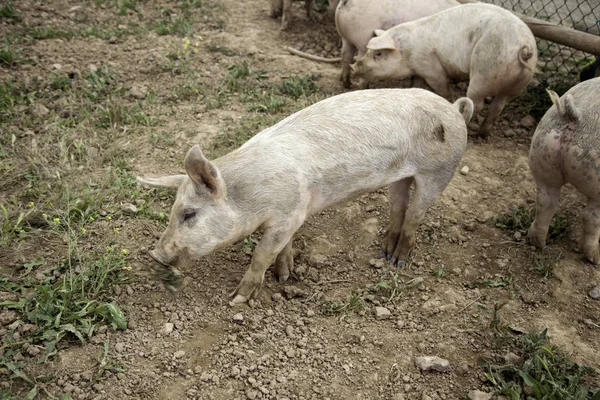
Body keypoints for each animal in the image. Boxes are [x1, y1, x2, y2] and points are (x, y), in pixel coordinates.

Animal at [332, 0, 460, 88]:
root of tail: (346, 2)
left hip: (345, 37)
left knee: (345, 55)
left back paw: (346, 83)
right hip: (363, 38)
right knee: (359, 59)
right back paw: (364, 88)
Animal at [350, 2, 536, 138]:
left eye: (378, 53)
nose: (354, 67)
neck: (407, 51)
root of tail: (524, 47)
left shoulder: (430, 65)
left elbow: (443, 87)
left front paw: (446, 97)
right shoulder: (419, 69)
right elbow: (416, 83)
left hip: (484, 72)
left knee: (477, 103)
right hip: (515, 85)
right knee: (497, 107)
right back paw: (481, 134)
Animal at [528, 77, 600, 264]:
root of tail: (577, 115)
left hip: (542, 154)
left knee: (546, 201)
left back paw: (537, 242)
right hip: (597, 180)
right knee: (591, 217)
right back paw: (594, 258)